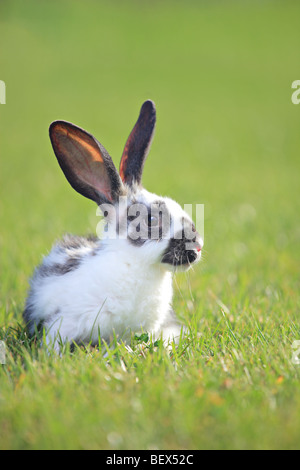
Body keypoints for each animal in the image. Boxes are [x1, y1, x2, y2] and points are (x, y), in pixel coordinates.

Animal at [22, 100, 202, 348]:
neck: (137, 265)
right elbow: (53, 343)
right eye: (151, 219)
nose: (197, 247)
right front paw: (50, 356)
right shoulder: (62, 323)